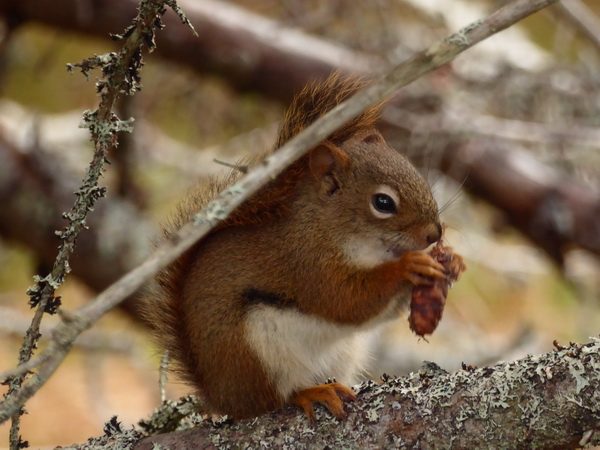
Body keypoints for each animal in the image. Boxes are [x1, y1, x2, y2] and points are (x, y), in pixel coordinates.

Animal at [144, 73, 464, 422]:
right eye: (383, 202)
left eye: (417, 174)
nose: (434, 233)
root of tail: (221, 397)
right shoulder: (307, 263)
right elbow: (345, 300)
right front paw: (408, 267)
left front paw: (452, 261)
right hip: (256, 353)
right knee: (272, 401)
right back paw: (311, 393)